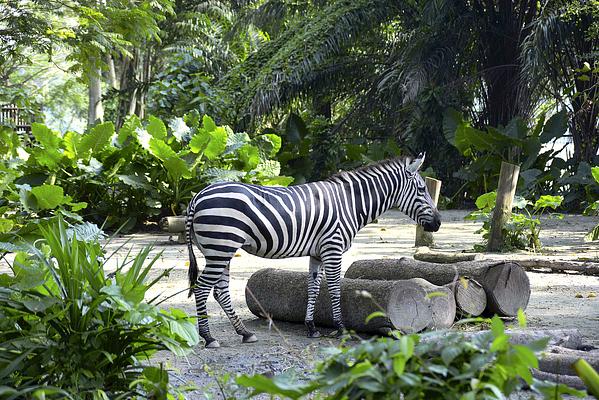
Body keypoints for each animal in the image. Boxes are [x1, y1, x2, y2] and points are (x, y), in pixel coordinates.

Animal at [185, 153, 442, 346]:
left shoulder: (318, 253)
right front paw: (341, 328)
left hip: (220, 250)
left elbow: (314, 288)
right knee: (202, 288)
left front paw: (311, 327)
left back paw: (244, 333)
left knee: (220, 291)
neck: (351, 203)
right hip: (220, 247)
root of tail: (198, 195)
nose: (439, 223)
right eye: (422, 189)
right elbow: (335, 288)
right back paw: (208, 337)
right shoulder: (333, 247)